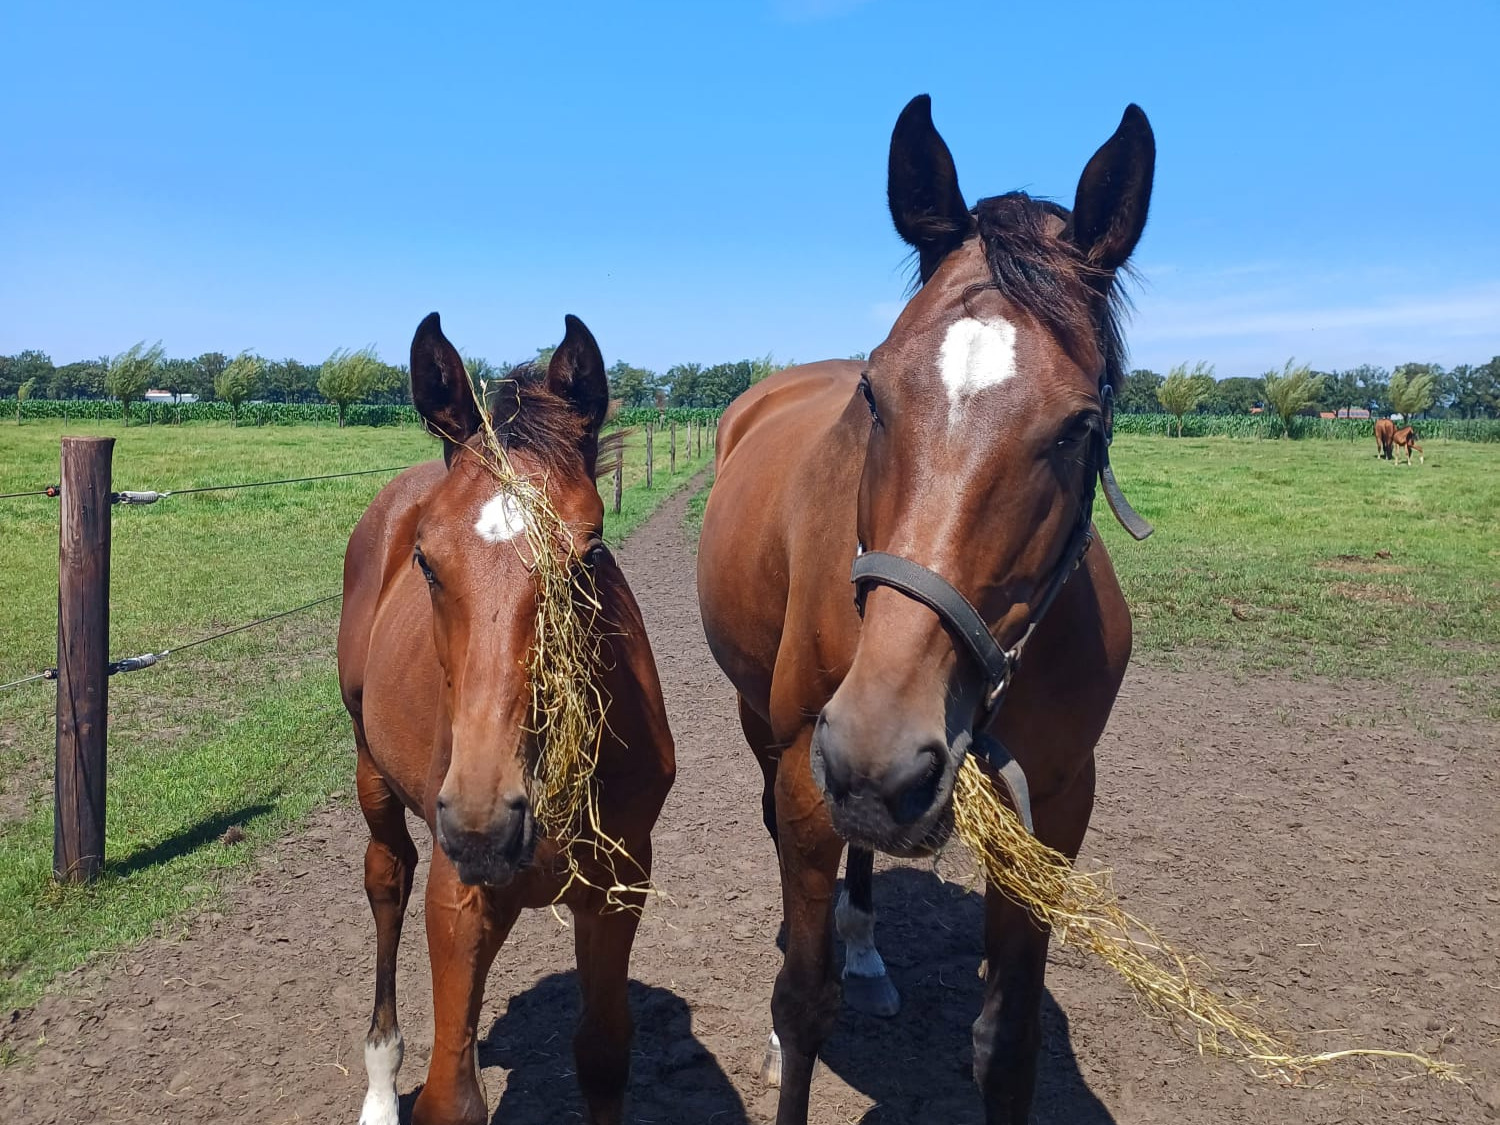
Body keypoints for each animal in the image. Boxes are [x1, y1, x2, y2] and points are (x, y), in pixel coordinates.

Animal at [337, 313, 675, 1125]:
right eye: (427, 561)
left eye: (588, 556)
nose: (484, 824)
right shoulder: (458, 899)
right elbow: (451, 1097)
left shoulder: (620, 882)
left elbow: (604, 1054)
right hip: (372, 773)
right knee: (386, 877)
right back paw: (379, 1082)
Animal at [696, 95, 1155, 1124]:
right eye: (875, 393)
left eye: (1080, 426)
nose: (880, 750)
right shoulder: (807, 765)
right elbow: (804, 1000)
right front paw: (791, 1018)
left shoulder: (1054, 806)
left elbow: (1007, 1043)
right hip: (769, 728)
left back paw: (864, 943)